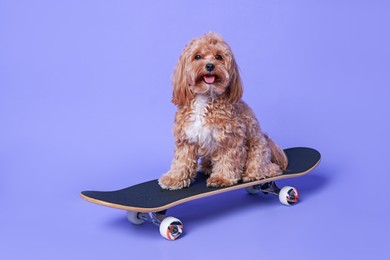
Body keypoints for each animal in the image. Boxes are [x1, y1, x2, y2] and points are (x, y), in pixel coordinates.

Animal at [157, 33, 288, 191]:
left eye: (219, 57)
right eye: (198, 56)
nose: (210, 66)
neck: (205, 97)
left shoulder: (230, 139)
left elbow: (227, 160)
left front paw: (222, 178)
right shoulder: (185, 138)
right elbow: (182, 161)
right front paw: (174, 178)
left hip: (258, 151)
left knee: (268, 168)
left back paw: (254, 174)